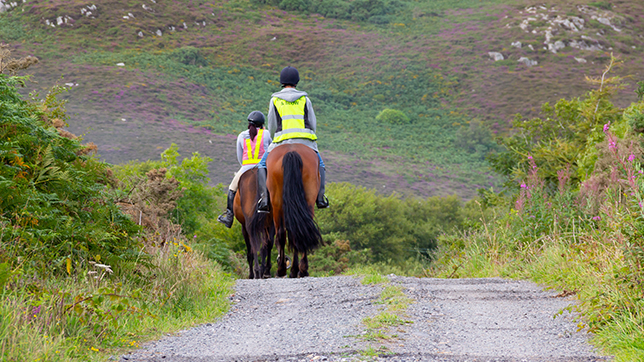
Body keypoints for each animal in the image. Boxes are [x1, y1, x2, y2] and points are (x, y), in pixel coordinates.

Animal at [252, 143, 322, 278]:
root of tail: (291, 152)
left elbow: (272, 240)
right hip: (308, 201)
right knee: (301, 230)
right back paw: (301, 269)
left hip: (277, 204)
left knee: (281, 234)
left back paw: (281, 270)